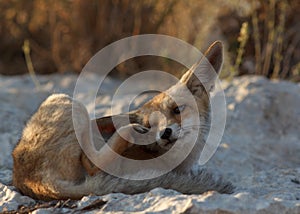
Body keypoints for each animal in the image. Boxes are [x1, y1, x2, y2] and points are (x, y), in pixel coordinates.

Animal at [12, 41, 233, 200]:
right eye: (150, 125)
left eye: (176, 109)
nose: (165, 133)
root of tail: (27, 179)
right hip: (71, 103)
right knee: (91, 162)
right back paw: (127, 131)